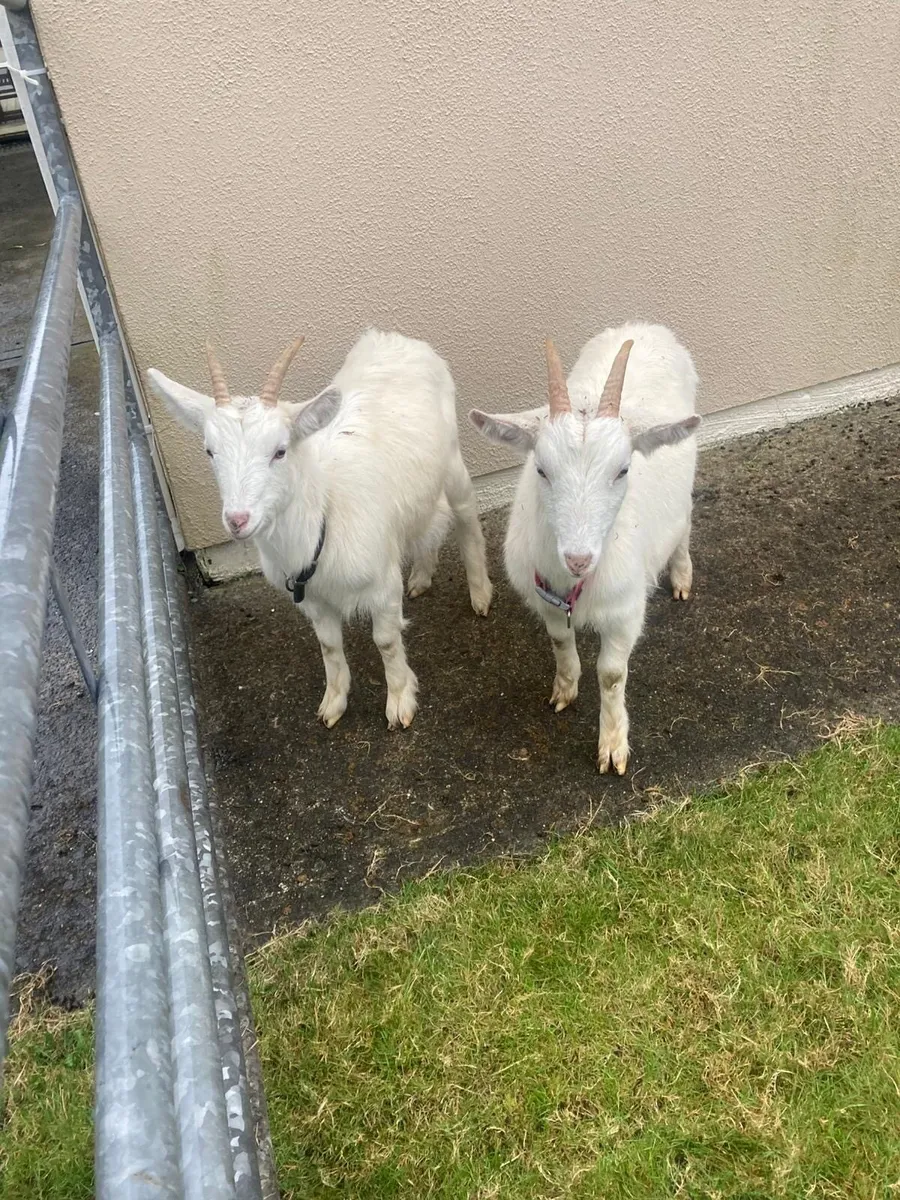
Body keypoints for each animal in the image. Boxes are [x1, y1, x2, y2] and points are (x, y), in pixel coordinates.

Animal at [148, 329, 493, 729]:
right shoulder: (312, 600)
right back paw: (422, 575)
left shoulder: (382, 587)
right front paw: (333, 703)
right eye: (209, 451)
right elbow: (329, 645)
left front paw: (399, 701)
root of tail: (394, 337)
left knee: (466, 517)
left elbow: (386, 641)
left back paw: (481, 594)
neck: (325, 512)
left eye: (280, 451)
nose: (237, 520)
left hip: (453, 460)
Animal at [469, 322, 700, 774]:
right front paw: (564, 689)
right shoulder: (545, 598)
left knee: (684, 520)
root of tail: (643, 326)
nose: (578, 558)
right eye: (541, 469)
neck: (573, 584)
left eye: (623, 470)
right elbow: (560, 642)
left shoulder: (626, 611)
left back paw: (682, 575)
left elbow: (611, 674)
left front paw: (611, 747)